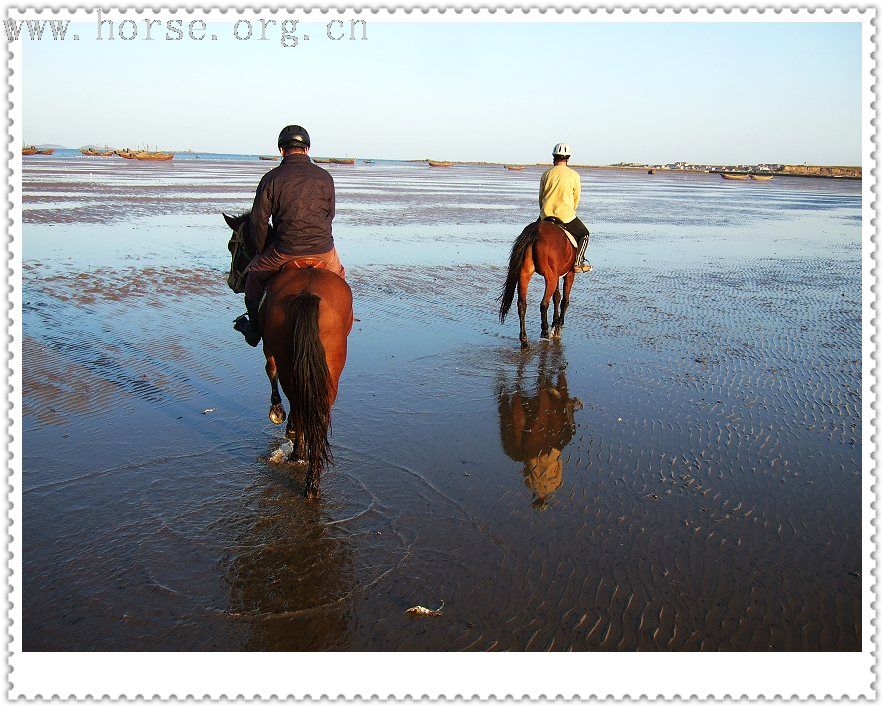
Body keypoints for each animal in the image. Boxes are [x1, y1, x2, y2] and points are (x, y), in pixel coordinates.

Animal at [223, 213, 354, 500]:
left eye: (231, 246)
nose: (231, 282)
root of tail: (308, 293)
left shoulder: (270, 349)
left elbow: (269, 371)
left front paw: (278, 414)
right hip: (332, 364)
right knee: (319, 408)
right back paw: (312, 478)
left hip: (287, 356)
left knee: (297, 398)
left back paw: (298, 455)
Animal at [498, 218, 580, 346]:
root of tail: (536, 230)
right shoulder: (569, 273)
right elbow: (564, 300)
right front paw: (558, 326)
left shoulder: (557, 274)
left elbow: (556, 297)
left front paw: (555, 322)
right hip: (550, 277)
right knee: (544, 304)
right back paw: (545, 331)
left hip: (525, 274)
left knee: (522, 304)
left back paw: (524, 340)